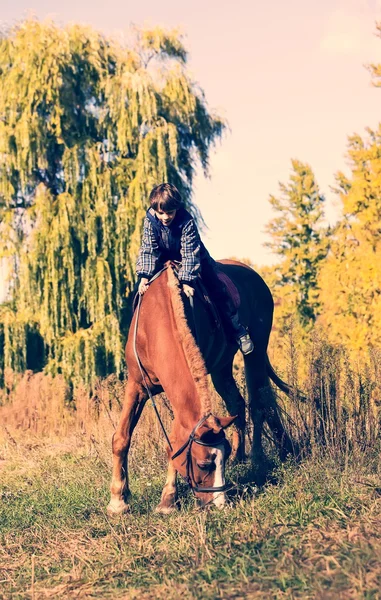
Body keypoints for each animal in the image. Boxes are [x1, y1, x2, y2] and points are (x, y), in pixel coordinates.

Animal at [107, 258, 294, 516]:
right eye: (205, 463)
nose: (220, 504)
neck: (155, 321)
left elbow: (172, 444)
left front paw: (168, 499)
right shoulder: (137, 386)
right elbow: (121, 437)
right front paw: (118, 500)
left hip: (254, 356)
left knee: (258, 404)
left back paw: (257, 459)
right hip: (221, 369)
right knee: (237, 404)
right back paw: (240, 458)